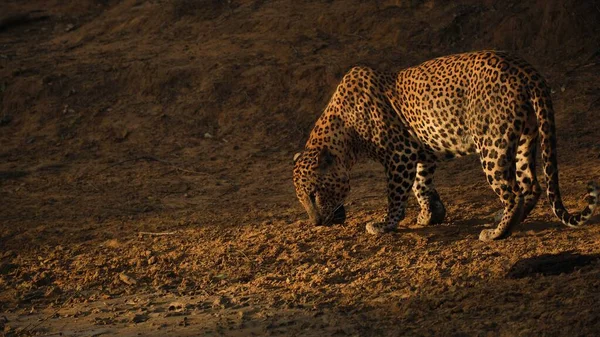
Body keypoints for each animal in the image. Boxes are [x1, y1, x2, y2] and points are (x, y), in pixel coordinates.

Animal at [292, 50, 596, 240]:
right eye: (301, 198)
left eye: (314, 194)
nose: (315, 223)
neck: (345, 132)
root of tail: (526, 70)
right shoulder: (421, 152)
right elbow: (421, 185)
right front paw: (431, 215)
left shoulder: (399, 155)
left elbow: (396, 196)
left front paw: (385, 225)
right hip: (525, 138)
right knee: (531, 186)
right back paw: (507, 219)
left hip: (492, 144)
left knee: (513, 192)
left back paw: (497, 233)